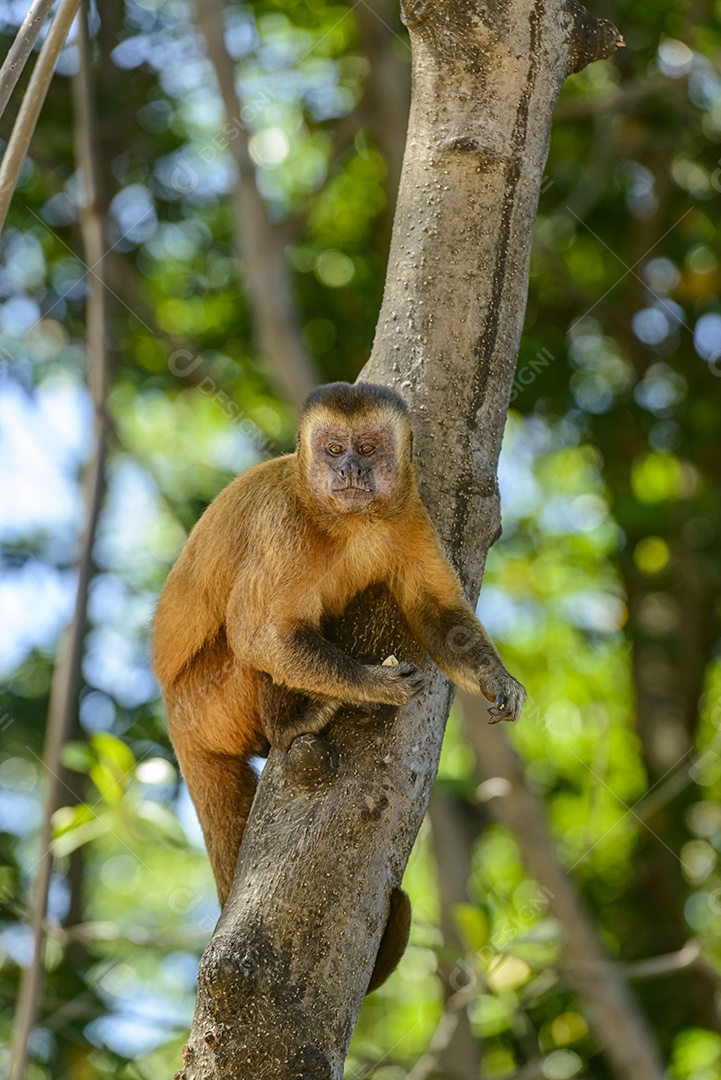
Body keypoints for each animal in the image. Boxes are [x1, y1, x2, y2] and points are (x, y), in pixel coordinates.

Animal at [152, 384, 524, 989]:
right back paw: (291, 724)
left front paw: (498, 679)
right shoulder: (281, 525)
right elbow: (261, 636)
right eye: (333, 449)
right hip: (202, 701)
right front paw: (375, 685)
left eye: (367, 448)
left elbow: (439, 618)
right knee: (255, 643)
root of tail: (170, 712)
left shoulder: (411, 515)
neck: (346, 521)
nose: (349, 468)